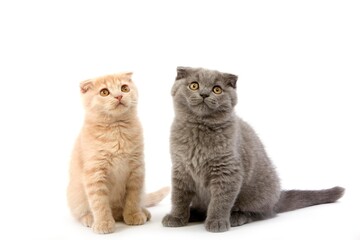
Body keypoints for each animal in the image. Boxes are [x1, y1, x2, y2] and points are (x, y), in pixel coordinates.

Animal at [68, 72, 170, 233]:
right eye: (104, 92)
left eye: (124, 88)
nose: (119, 96)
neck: (117, 130)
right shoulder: (95, 173)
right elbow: (99, 202)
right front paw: (103, 223)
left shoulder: (136, 169)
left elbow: (133, 198)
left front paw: (133, 215)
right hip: (75, 196)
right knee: (81, 212)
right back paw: (90, 218)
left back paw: (142, 212)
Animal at [162, 66, 344, 232]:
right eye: (194, 85)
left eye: (217, 89)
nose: (204, 94)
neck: (200, 129)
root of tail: (277, 198)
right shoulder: (181, 168)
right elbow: (178, 197)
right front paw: (176, 217)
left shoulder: (227, 171)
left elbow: (221, 200)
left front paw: (217, 222)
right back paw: (192, 214)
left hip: (259, 195)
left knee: (262, 213)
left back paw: (235, 217)